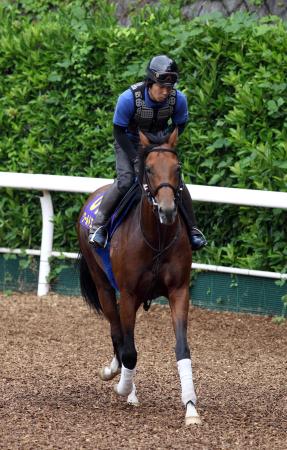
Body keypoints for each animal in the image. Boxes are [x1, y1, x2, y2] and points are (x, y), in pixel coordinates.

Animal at [77, 129, 201, 426]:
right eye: (148, 169)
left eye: (177, 168)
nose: (167, 210)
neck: (156, 239)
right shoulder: (129, 294)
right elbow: (130, 350)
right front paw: (123, 387)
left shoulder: (179, 291)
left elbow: (183, 349)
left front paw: (191, 408)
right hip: (103, 285)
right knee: (117, 332)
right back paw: (118, 376)